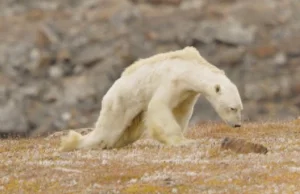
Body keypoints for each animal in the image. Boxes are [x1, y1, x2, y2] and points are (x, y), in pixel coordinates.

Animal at [59, 46, 244, 152]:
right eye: (232, 108)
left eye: (240, 108)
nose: (237, 125)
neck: (189, 67)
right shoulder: (172, 80)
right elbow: (158, 105)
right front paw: (183, 141)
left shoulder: (187, 93)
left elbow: (181, 111)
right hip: (120, 102)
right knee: (108, 131)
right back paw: (73, 143)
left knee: (128, 133)